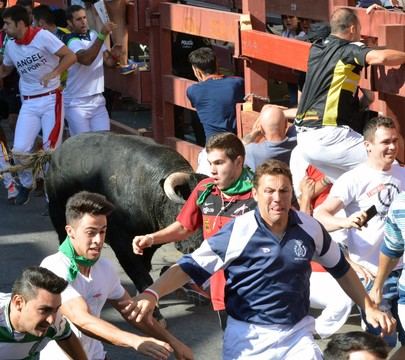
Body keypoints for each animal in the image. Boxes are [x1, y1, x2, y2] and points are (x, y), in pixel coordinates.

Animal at [45, 132, 205, 292]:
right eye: (185, 207)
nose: (198, 245)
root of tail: (56, 153)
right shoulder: (121, 241)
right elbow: (140, 275)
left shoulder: (148, 242)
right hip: (58, 215)